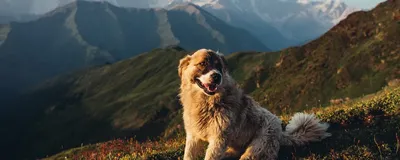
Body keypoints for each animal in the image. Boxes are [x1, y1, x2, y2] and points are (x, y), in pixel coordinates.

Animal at [178, 48, 332, 160]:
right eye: (202, 64)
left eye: (219, 66)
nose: (217, 76)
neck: (205, 103)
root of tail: (281, 133)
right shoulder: (193, 137)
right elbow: (189, 155)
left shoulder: (218, 139)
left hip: (257, 148)